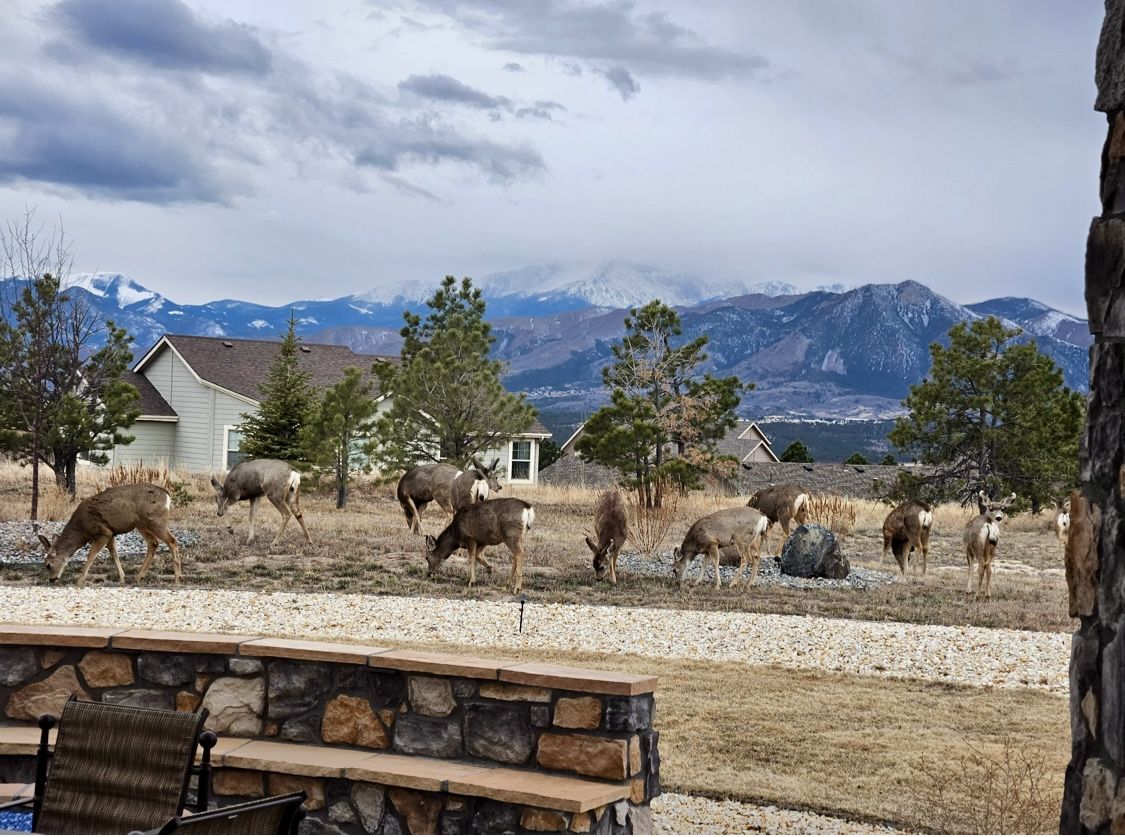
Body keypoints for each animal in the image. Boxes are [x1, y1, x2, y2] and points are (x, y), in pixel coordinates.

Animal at [39, 483, 181, 589]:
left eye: (48, 565)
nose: (51, 580)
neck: (81, 530)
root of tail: (167, 495)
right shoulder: (111, 532)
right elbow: (114, 553)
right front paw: (122, 578)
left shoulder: (103, 532)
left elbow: (91, 555)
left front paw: (79, 580)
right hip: (141, 524)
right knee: (153, 542)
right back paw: (138, 577)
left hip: (155, 520)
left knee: (172, 541)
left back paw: (177, 578)